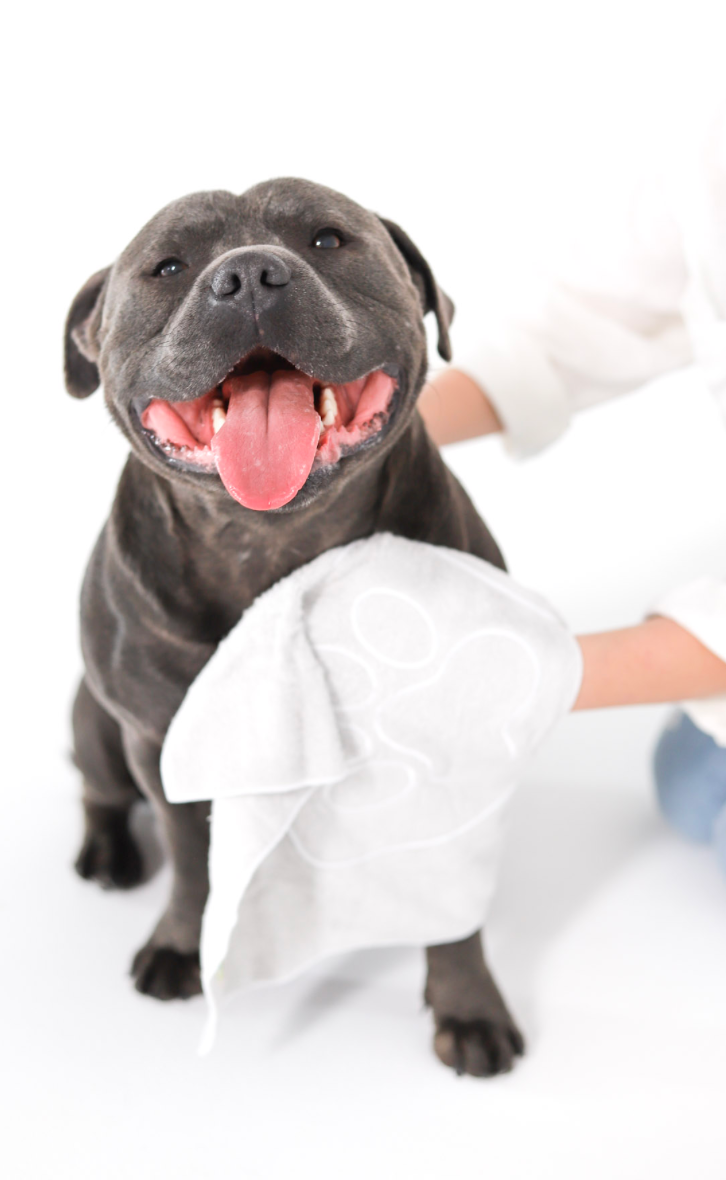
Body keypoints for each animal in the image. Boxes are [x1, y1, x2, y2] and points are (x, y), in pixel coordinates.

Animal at [65, 176, 526, 1080]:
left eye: (327, 240)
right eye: (168, 266)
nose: (247, 274)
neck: (270, 546)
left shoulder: (458, 754)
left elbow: (451, 899)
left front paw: (468, 1006)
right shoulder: (160, 742)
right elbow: (191, 870)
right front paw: (180, 945)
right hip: (95, 718)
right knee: (99, 789)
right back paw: (106, 852)